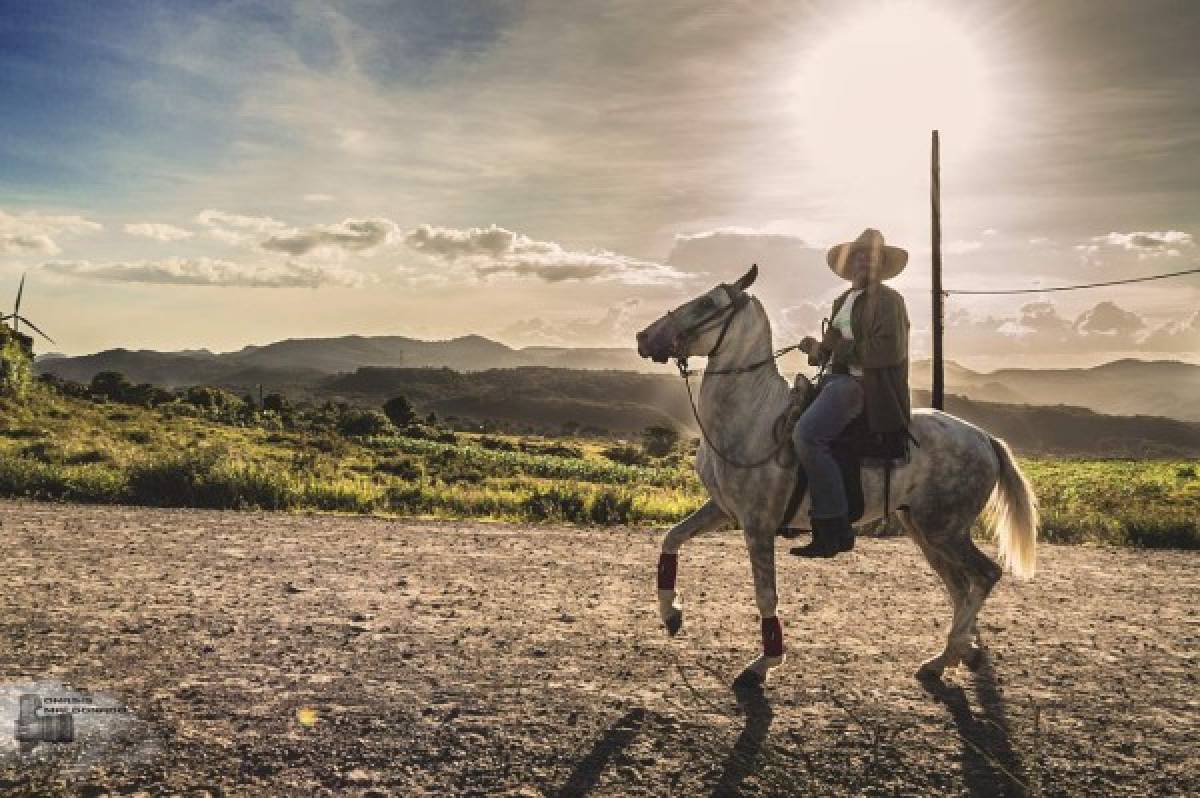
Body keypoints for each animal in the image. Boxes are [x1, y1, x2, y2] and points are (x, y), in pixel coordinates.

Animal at [633, 262, 1036, 686]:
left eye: (708, 303)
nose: (644, 337)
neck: (753, 415)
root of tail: (984, 438)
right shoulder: (724, 510)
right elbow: (671, 538)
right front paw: (671, 614)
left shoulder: (758, 524)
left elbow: (766, 595)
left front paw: (764, 663)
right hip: (925, 530)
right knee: (959, 586)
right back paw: (942, 659)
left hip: (945, 530)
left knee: (985, 576)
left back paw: (957, 647)